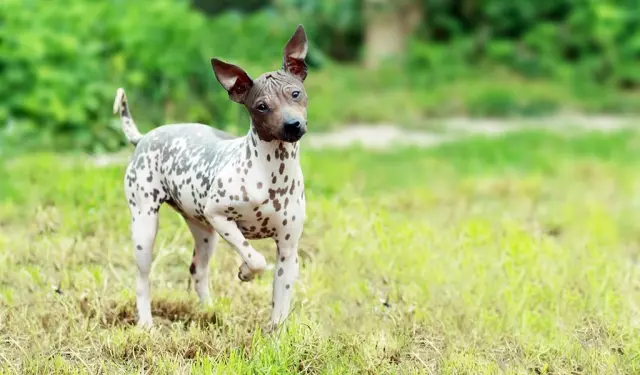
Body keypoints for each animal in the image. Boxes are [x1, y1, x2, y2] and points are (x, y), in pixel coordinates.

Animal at [114, 25, 310, 328]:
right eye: (261, 106)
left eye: (296, 93)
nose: (292, 125)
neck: (272, 174)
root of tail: (144, 137)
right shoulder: (219, 216)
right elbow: (256, 259)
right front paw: (245, 271)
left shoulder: (288, 252)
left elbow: (279, 308)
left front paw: (275, 336)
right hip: (145, 227)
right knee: (142, 279)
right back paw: (146, 323)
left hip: (205, 233)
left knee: (197, 270)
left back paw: (211, 311)